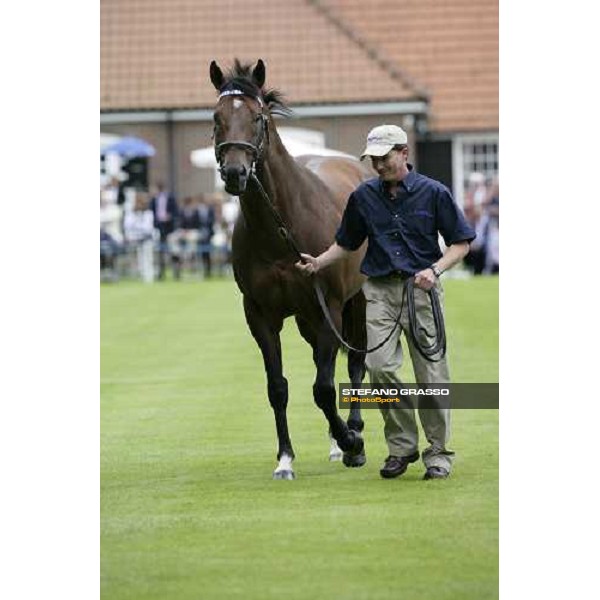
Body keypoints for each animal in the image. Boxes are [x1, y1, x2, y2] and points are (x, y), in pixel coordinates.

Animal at [210, 59, 370, 478]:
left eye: (258, 117)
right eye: (216, 117)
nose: (235, 172)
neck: (283, 229)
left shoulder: (330, 307)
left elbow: (324, 389)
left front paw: (352, 442)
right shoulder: (261, 315)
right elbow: (277, 387)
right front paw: (285, 459)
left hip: (357, 303)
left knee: (356, 364)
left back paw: (353, 434)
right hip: (305, 319)